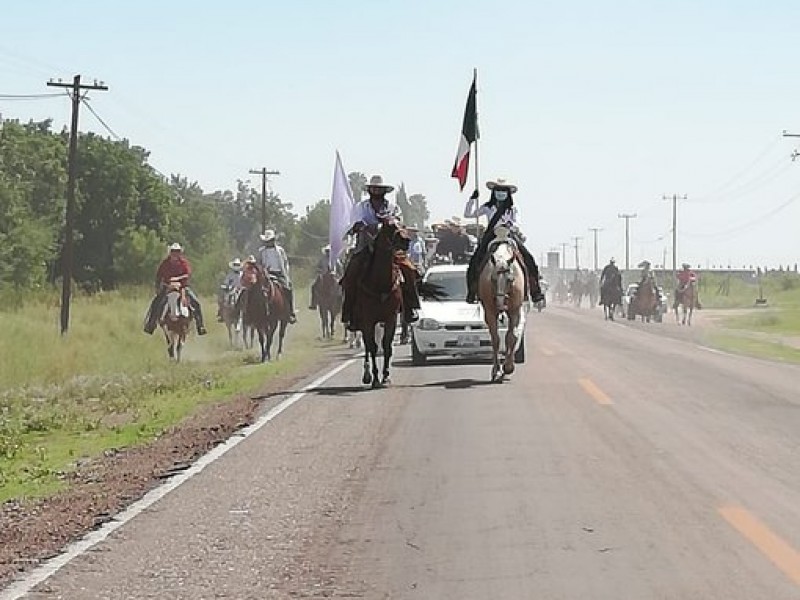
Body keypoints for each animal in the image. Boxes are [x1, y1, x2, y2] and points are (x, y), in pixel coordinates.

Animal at [478, 227, 528, 382]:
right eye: (493, 279)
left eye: (510, 279)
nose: (501, 305)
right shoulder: (489, 311)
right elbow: (495, 339)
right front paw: (497, 370)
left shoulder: (515, 310)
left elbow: (511, 337)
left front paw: (508, 367)